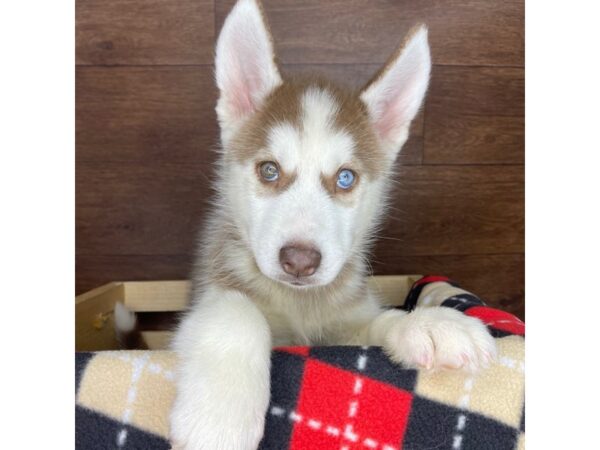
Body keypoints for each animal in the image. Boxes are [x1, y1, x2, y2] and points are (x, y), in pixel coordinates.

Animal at [169, 1, 496, 448]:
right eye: (269, 170)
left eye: (345, 178)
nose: (299, 261)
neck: (300, 306)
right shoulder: (213, 289)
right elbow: (236, 309)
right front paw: (219, 417)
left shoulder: (344, 327)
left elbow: (377, 322)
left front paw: (429, 324)